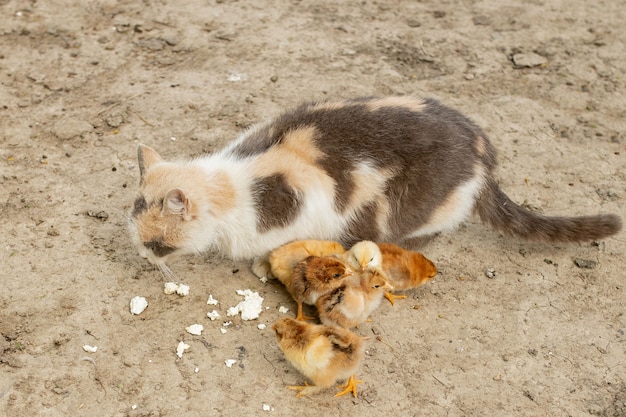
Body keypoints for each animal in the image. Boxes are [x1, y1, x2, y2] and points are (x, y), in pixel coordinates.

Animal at [127, 94, 620, 272]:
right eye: (139, 236)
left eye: (156, 245)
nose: (141, 255)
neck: (230, 184)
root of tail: (483, 151)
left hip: (413, 211)